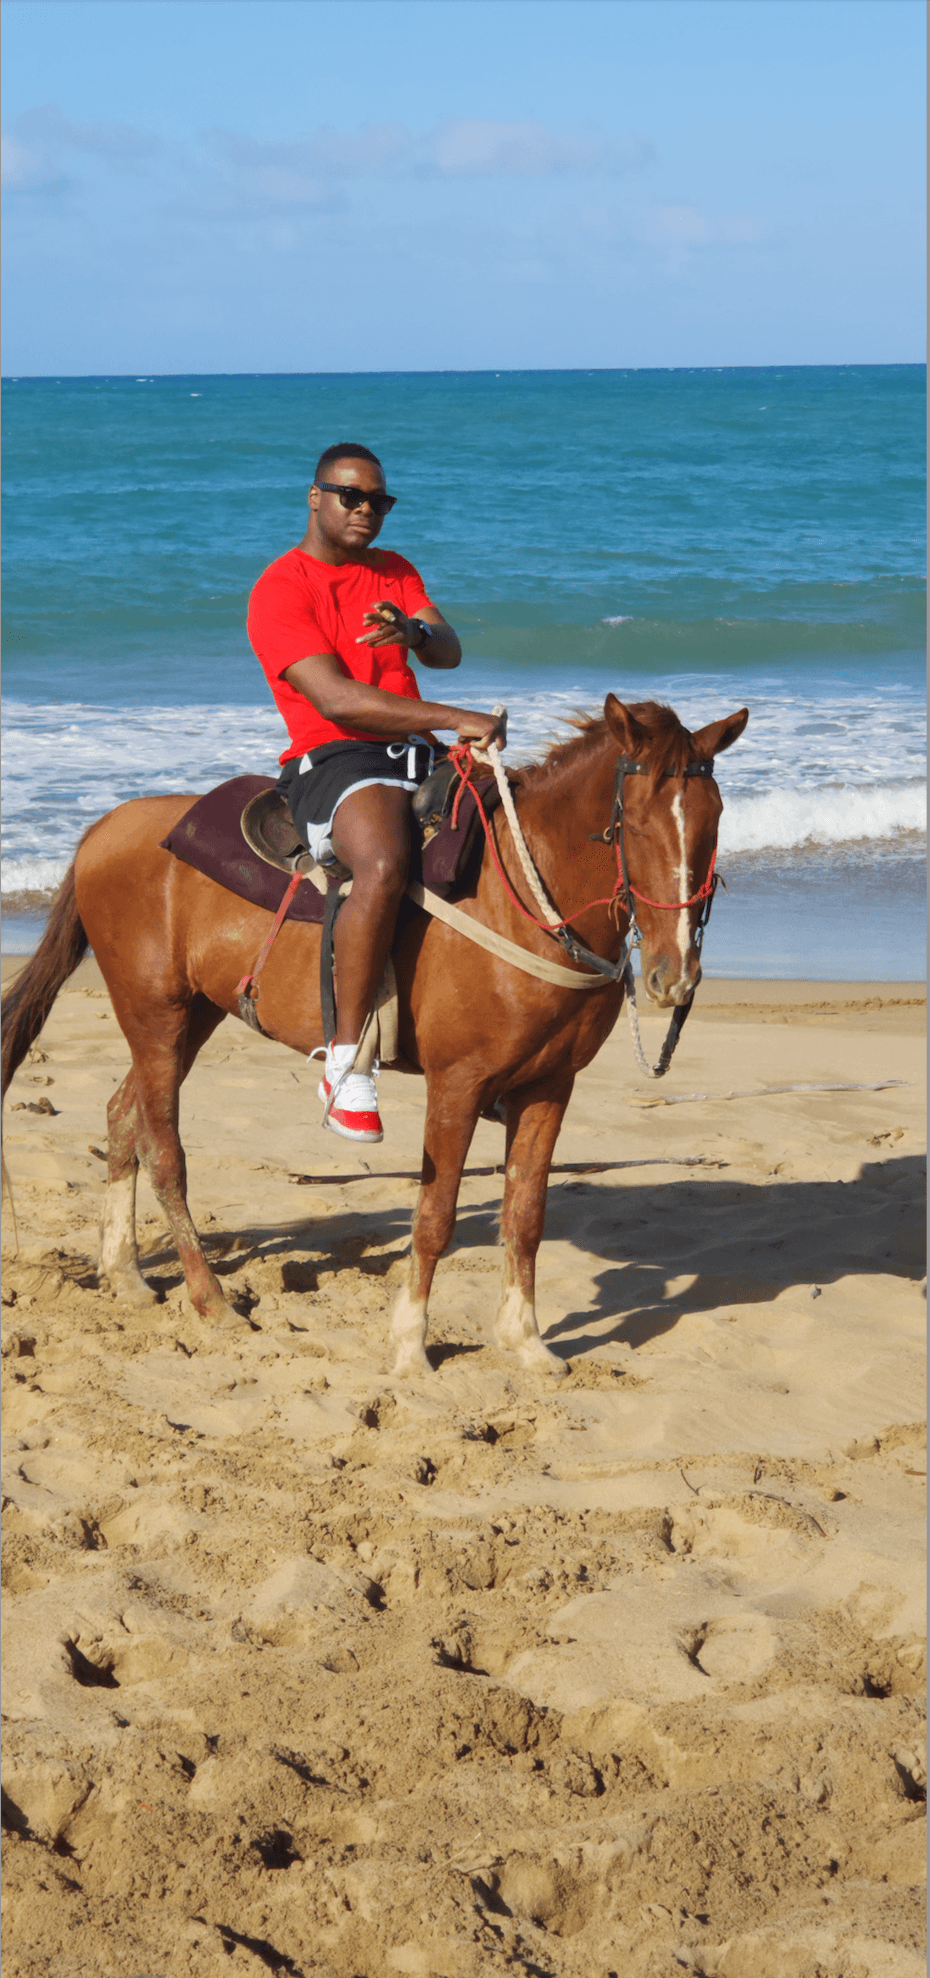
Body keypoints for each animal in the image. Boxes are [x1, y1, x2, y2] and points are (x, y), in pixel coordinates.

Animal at [1, 694, 748, 1377]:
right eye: (635, 826)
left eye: (713, 822)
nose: (674, 977)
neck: (519, 902)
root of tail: (105, 827)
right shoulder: (458, 1084)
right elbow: (435, 1218)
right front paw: (410, 1347)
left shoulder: (549, 1086)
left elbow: (526, 1213)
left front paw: (526, 1340)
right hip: (156, 1015)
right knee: (163, 1149)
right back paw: (210, 1299)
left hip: (191, 1016)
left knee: (121, 1114)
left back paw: (124, 1273)